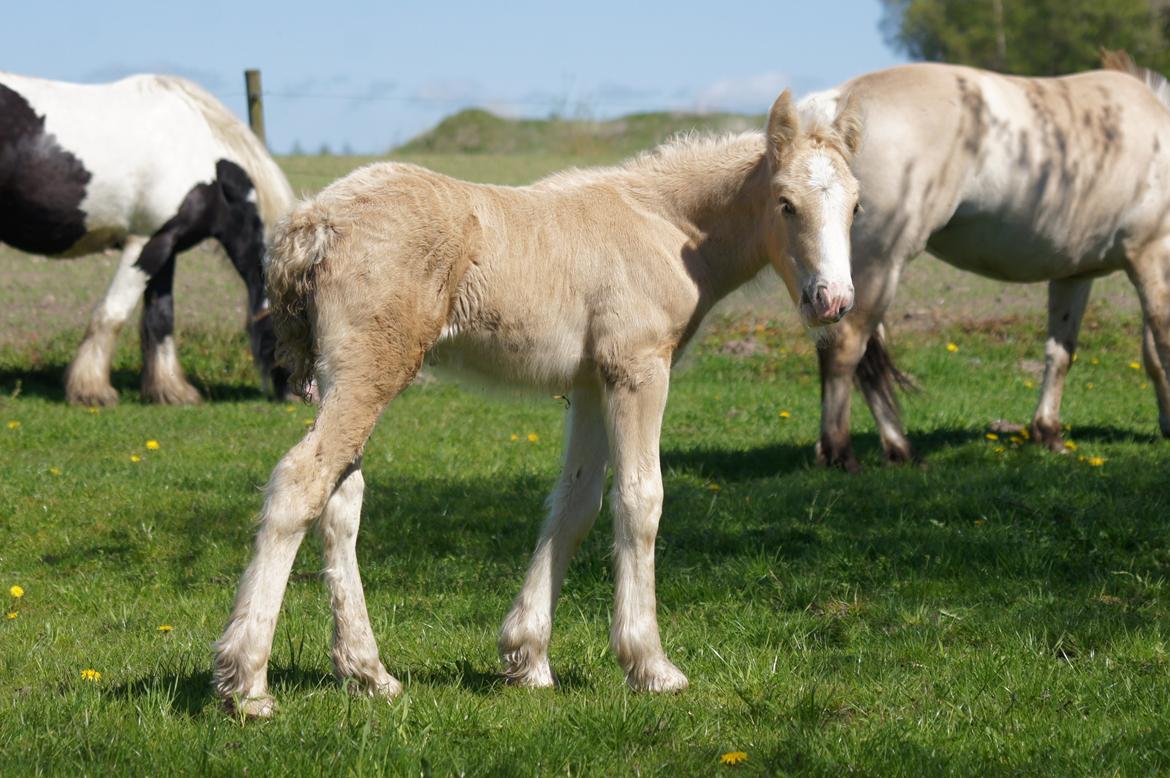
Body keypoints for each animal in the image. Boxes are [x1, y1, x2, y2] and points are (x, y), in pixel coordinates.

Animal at [0, 71, 297, 407]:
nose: (303, 394)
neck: (203, 159)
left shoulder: (167, 246)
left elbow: (161, 318)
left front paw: (170, 390)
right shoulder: (145, 244)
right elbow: (112, 313)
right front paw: (91, 390)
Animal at [215, 91, 865, 715]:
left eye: (856, 206)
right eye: (786, 203)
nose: (832, 301)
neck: (665, 226)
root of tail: (310, 222)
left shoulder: (591, 383)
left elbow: (575, 504)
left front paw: (527, 659)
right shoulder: (636, 369)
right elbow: (641, 500)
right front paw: (650, 666)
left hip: (343, 378)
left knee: (340, 499)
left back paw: (368, 674)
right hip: (371, 371)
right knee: (301, 481)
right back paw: (247, 683)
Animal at [804, 54, 1170, 470]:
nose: (1166, 428)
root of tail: (834, 103)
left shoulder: (1074, 275)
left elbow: (1061, 352)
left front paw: (1048, 433)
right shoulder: (1152, 255)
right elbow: (1162, 343)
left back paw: (897, 449)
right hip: (880, 263)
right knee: (846, 349)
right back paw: (841, 452)